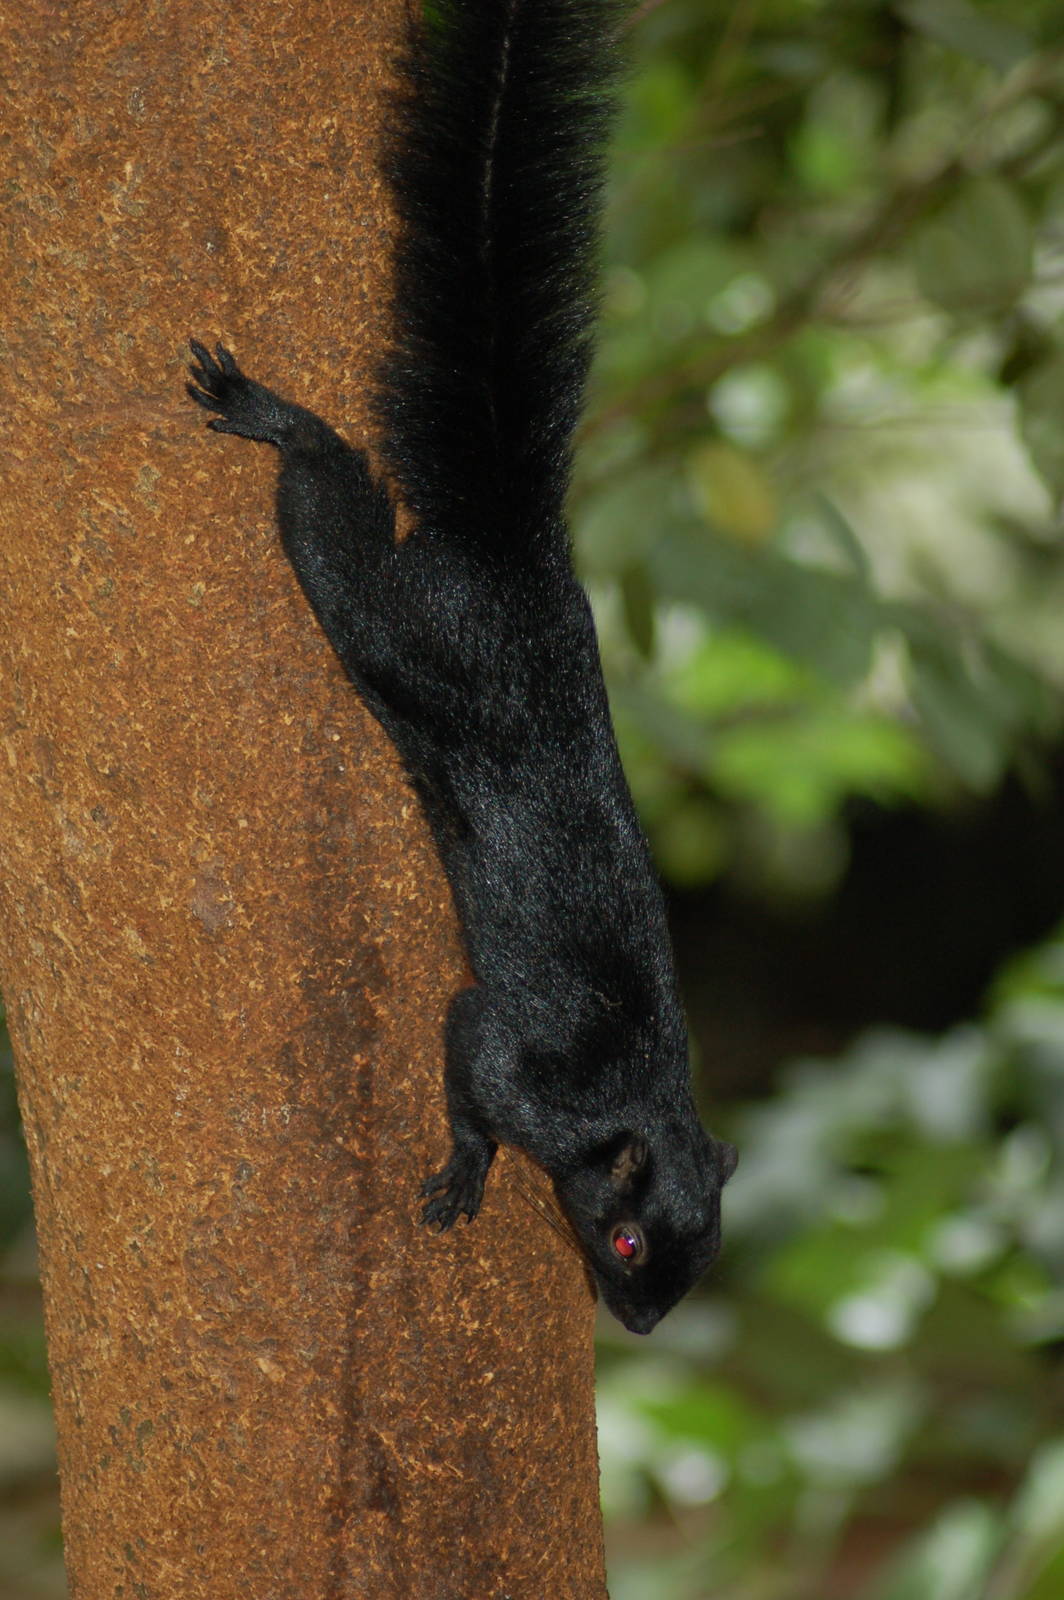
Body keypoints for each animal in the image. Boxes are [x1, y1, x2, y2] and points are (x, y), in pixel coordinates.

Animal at [186, 0, 736, 1334]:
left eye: (698, 1264)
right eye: (628, 1240)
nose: (636, 1322)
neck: (634, 1096)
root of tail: (510, 541)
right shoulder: (512, 1048)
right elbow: (468, 1061)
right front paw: (459, 1172)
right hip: (388, 624)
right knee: (327, 509)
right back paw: (271, 415)